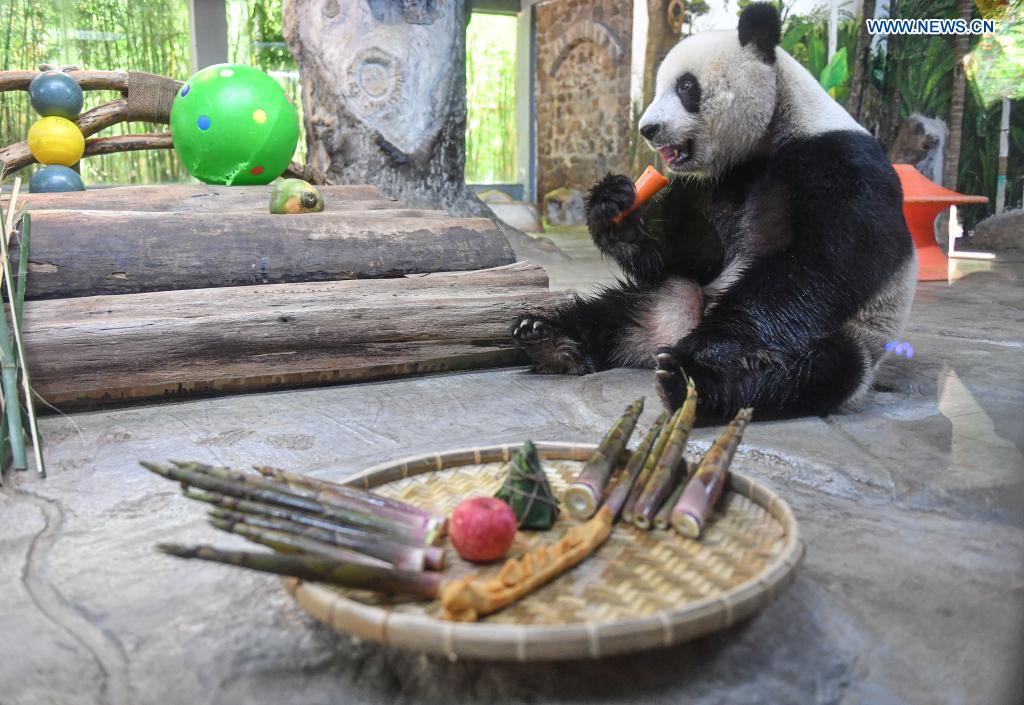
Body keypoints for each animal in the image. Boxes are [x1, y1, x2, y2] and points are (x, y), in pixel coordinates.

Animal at [516, 2, 917, 422]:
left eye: (686, 87)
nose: (648, 129)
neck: (774, 130)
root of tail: (668, 332)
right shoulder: (723, 180)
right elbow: (697, 255)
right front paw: (614, 209)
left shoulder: (841, 165)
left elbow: (820, 265)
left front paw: (707, 348)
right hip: (667, 296)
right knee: (613, 312)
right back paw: (551, 340)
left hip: (848, 338)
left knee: (809, 370)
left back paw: (690, 381)